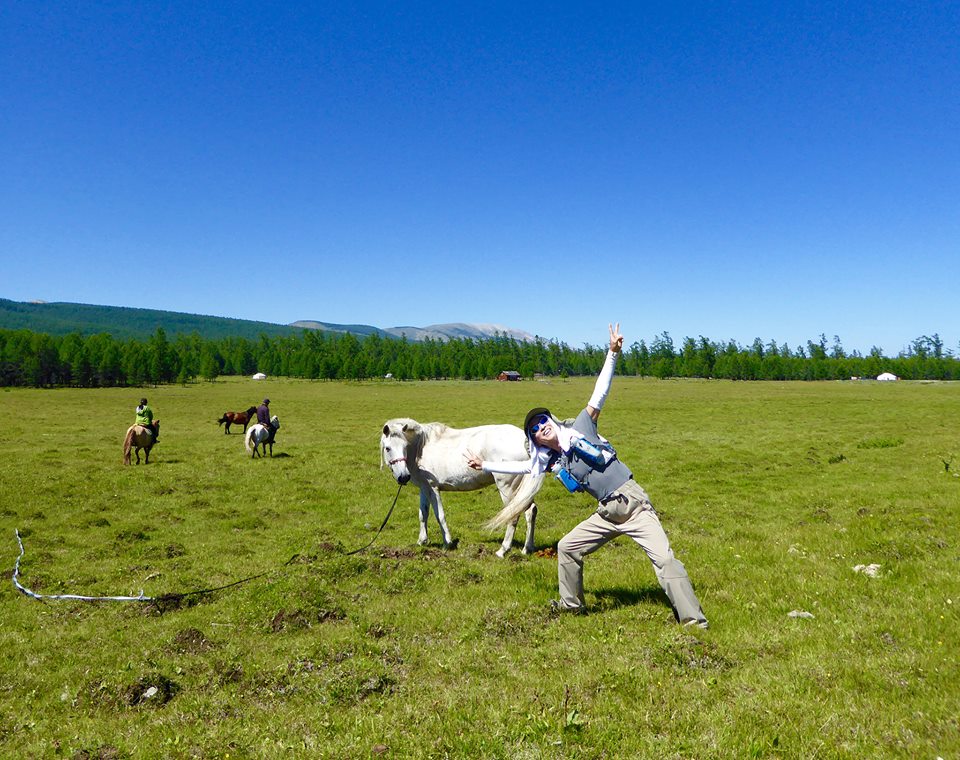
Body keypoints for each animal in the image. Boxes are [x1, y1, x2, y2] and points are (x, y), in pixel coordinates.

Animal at [380, 416, 540, 560]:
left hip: (507, 488)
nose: (403, 477)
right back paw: (527, 549)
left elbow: (440, 515)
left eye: (404, 446)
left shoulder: (433, 488)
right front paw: (422, 541)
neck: (420, 448)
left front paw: (447, 543)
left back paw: (503, 550)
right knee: (530, 511)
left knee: (513, 515)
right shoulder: (424, 488)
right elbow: (423, 514)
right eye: (388, 448)